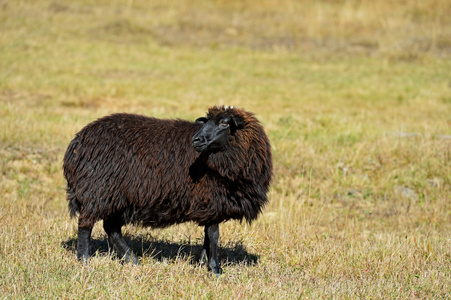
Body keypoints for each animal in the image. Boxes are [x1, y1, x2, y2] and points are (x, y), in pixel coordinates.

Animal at [64, 105, 274, 274]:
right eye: (207, 122)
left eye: (224, 123)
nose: (196, 140)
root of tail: (76, 144)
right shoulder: (212, 200)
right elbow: (214, 236)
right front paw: (215, 269)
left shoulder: (210, 205)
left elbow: (207, 237)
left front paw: (202, 263)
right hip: (98, 191)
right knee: (85, 225)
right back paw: (84, 260)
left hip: (118, 197)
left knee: (112, 229)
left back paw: (132, 261)